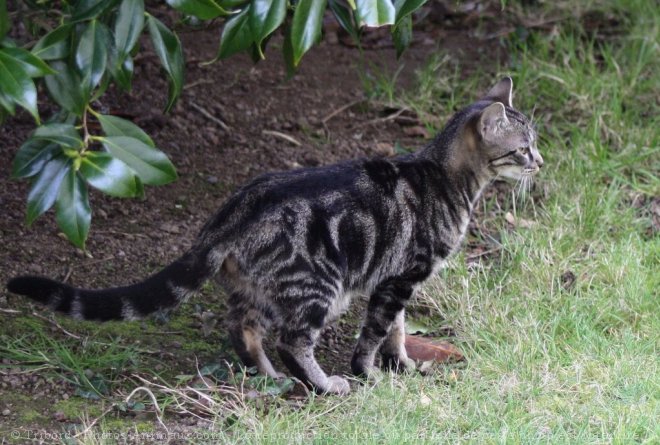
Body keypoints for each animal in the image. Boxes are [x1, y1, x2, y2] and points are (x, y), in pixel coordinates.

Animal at [6, 78, 540, 394]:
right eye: (522, 148)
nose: (540, 161)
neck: (449, 179)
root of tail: (227, 215)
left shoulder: (398, 281)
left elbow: (398, 330)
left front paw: (404, 365)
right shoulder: (399, 278)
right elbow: (375, 333)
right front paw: (369, 372)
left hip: (260, 286)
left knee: (242, 328)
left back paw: (267, 377)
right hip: (317, 287)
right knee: (291, 339)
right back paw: (324, 385)